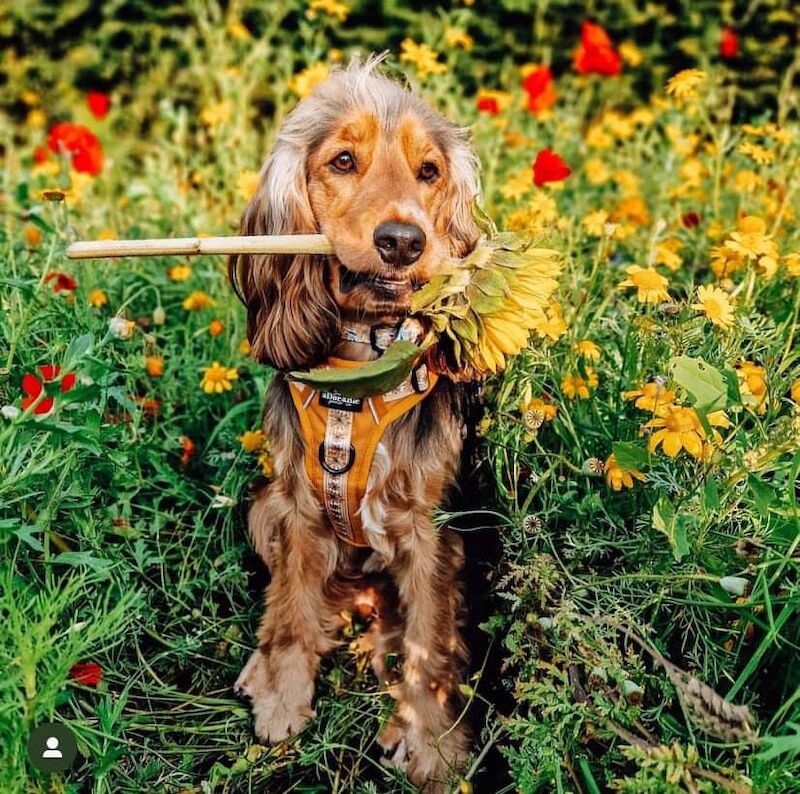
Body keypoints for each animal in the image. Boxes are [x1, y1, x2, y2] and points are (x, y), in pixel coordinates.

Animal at [231, 54, 482, 784]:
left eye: (429, 171)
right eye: (343, 160)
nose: (404, 241)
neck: (359, 366)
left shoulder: (433, 533)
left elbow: (431, 644)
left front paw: (434, 747)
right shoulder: (297, 508)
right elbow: (291, 608)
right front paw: (283, 696)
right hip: (261, 507)